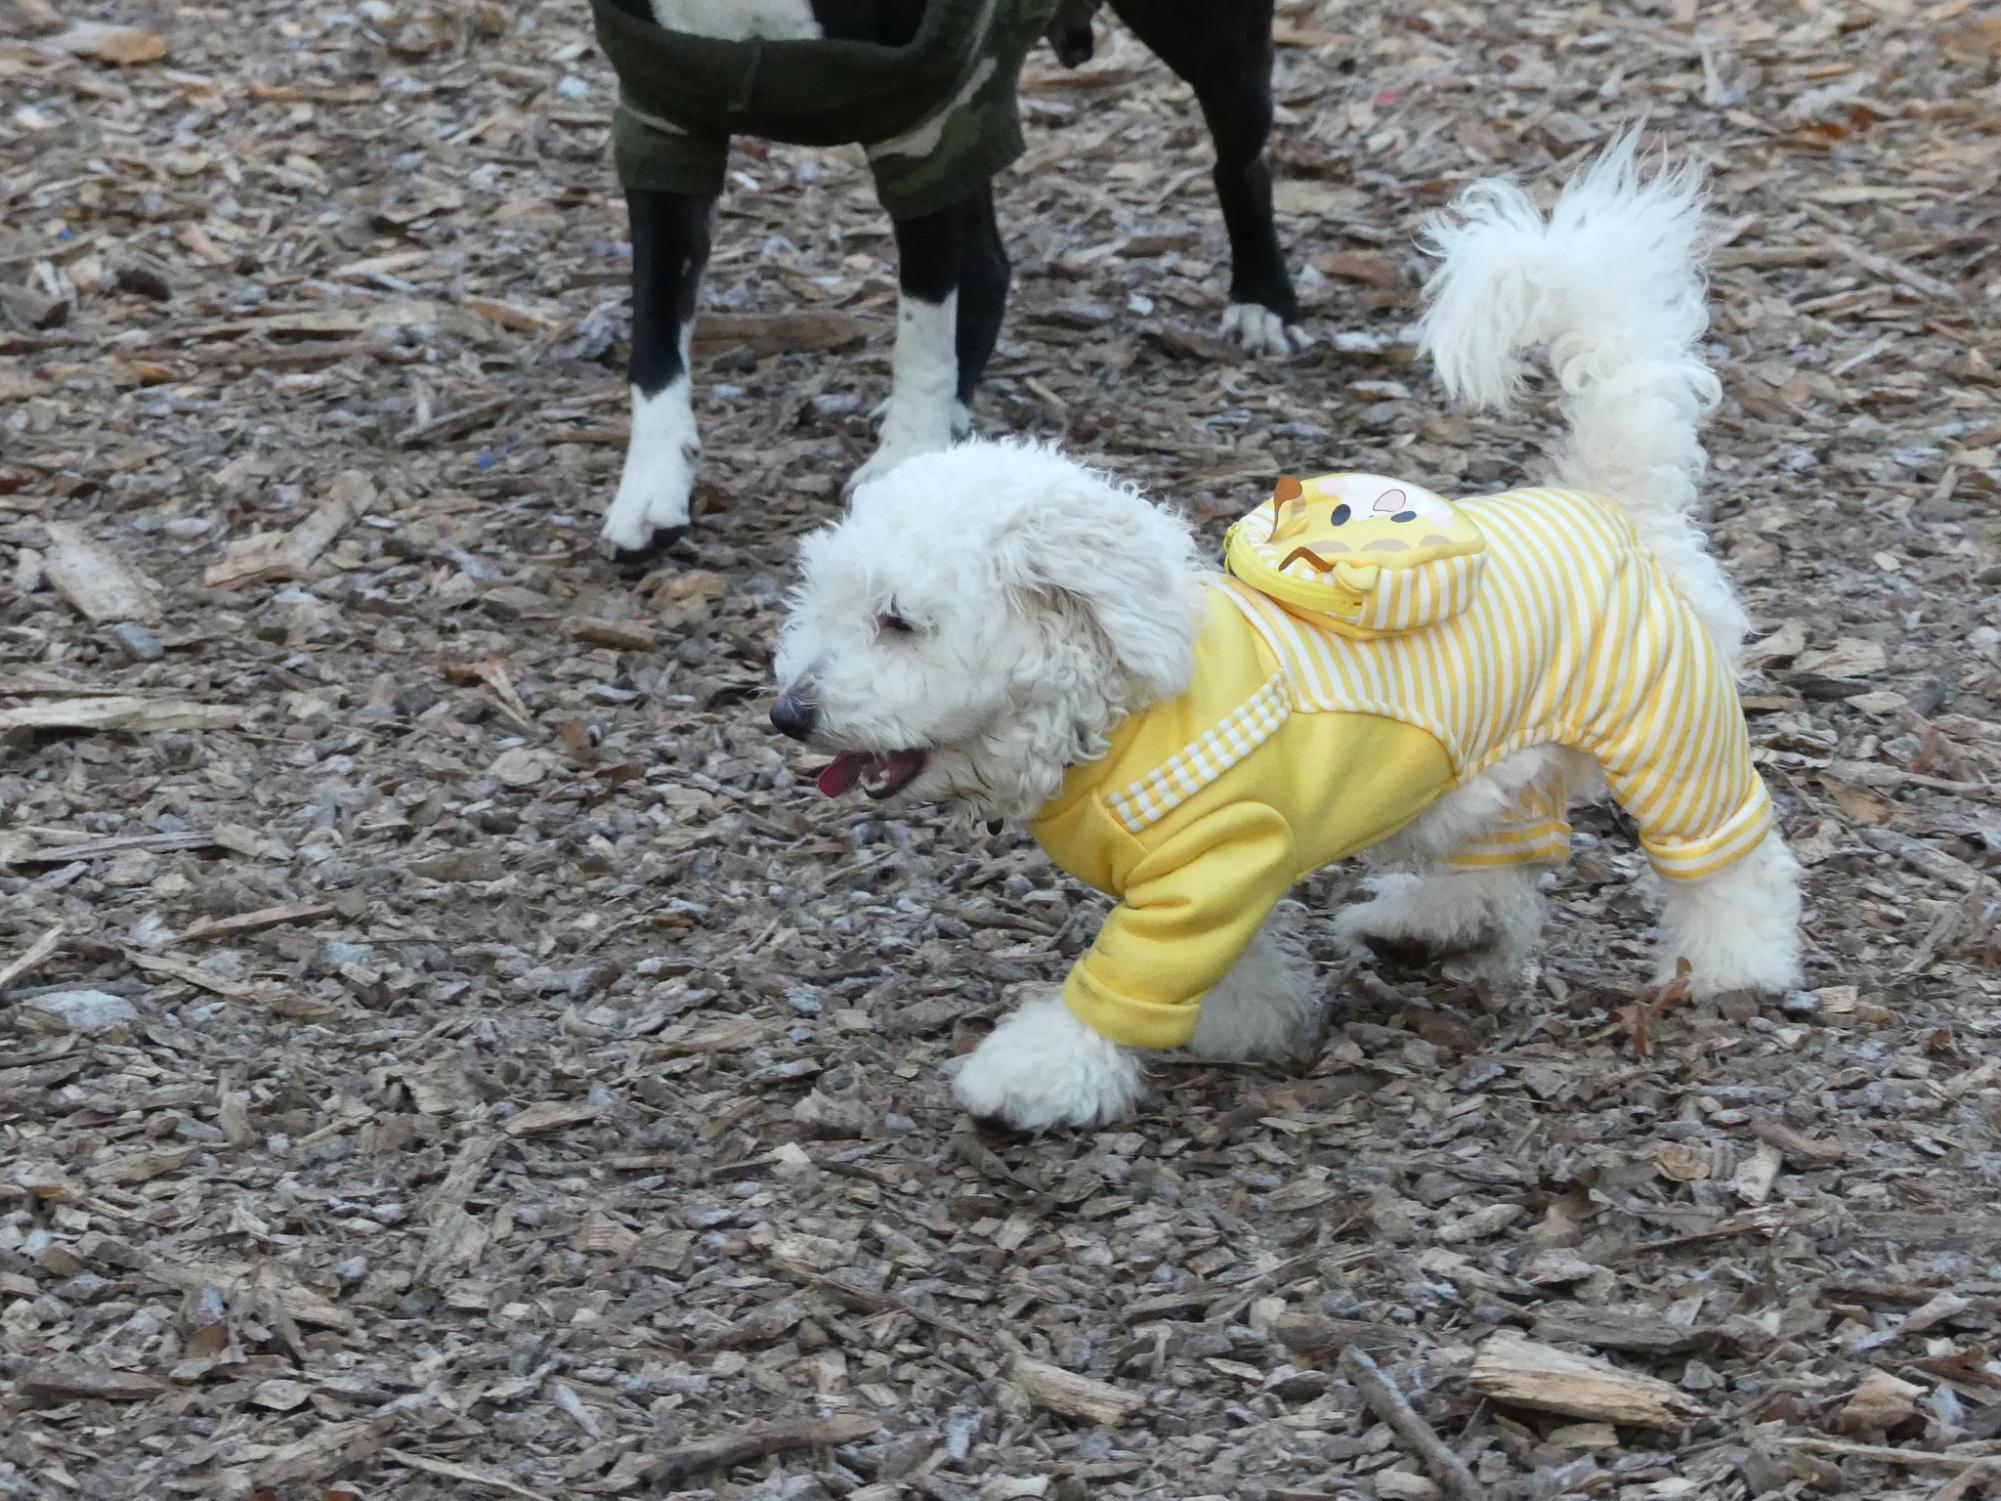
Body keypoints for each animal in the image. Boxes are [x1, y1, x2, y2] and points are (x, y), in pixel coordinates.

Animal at [592, 0, 1296, 560]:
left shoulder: (922, 121)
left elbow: (923, 330)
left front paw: (904, 458)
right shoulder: (666, 120)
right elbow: (655, 336)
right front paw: (651, 487)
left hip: (1211, 45)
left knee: (1242, 162)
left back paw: (1264, 302)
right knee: (987, 262)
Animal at [772, 138, 1808, 1128]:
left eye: (898, 622)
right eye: (819, 601)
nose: (788, 712)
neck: (1116, 717)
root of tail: (1609, 501)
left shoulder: (1209, 864)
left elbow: (1123, 983)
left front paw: (1033, 1077)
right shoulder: (1218, 878)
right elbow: (1234, 963)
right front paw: (1250, 1022)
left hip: (1668, 732)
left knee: (1729, 857)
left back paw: (1736, 964)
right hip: (1489, 768)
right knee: (1505, 856)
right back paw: (1432, 923)